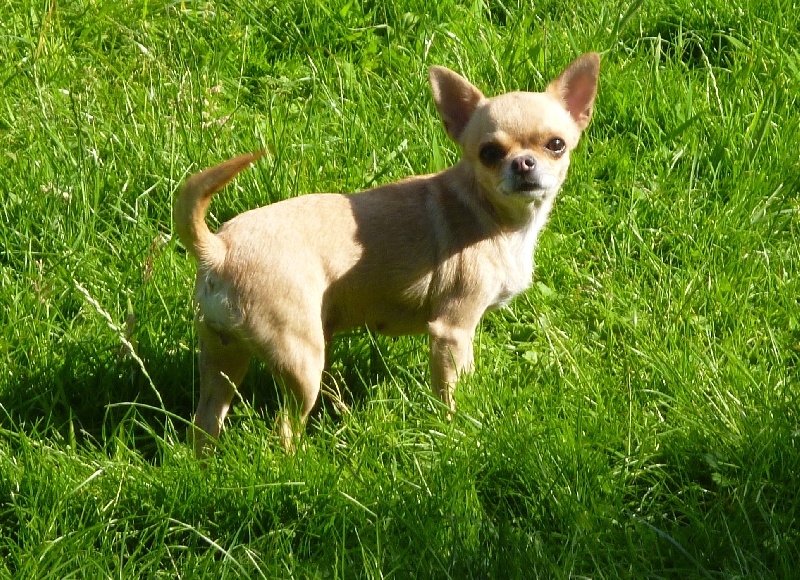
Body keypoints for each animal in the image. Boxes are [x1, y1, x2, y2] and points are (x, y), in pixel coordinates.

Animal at [174, 53, 600, 457]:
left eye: (556, 145)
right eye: (489, 153)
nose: (524, 163)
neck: (492, 214)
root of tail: (220, 249)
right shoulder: (452, 330)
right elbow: (450, 392)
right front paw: (456, 432)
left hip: (222, 355)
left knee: (206, 421)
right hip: (301, 360)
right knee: (285, 430)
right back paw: (302, 462)